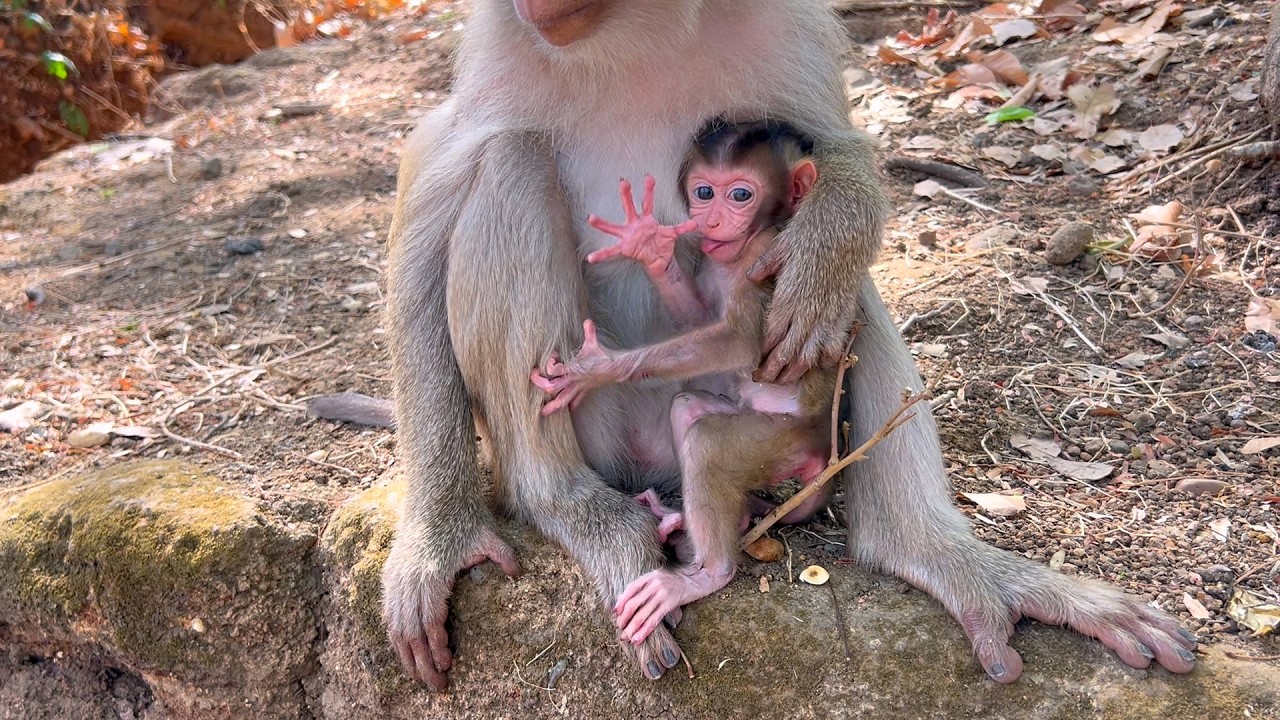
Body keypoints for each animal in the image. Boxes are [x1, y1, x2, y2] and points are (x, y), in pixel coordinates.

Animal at [530, 119, 838, 645]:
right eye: (703, 192)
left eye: (740, 194)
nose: (710, 223)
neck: (740, 251)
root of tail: (822, 441)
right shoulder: (714, 262)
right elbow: (699, 320)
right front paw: (650, 248)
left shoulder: (764, 255)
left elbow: (737, 342)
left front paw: (598, 369)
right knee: (688, 408)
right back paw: (696, 519)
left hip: (781, 437)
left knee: (710, 444)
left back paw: (706, 575)